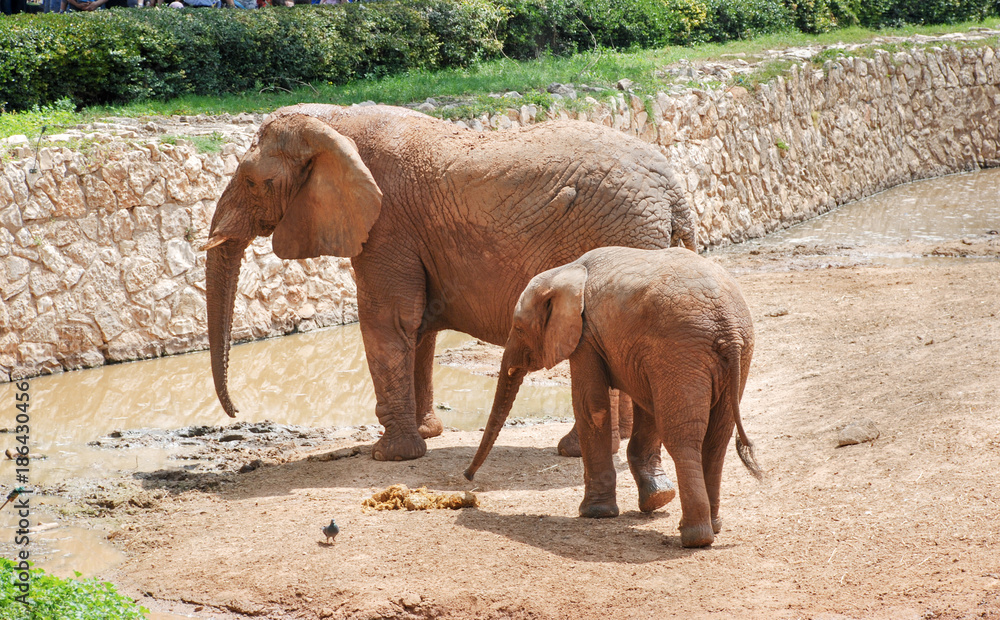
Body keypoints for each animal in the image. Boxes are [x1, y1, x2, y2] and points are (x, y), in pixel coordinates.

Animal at [205, 103, 697, 462]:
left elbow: (388, 320)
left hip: (613, 234)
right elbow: (416, 325)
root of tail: (675, 191)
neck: (333, 121)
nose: (235, 413)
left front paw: (390, 456)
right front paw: (426, 434)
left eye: (252, 181)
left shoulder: (386, 223)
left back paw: (575, 450)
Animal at [464, 247, 763, 548]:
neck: (565, 272)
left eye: (518, 327)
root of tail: (728, 327)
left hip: (682, 352)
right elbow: (647, 407)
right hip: (732, 354)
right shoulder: (637, 352)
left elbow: (592, 405)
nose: (467, 477)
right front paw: (657, 499)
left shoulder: (586, 336)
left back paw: (695, 538)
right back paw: (713, 527)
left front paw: (595, 513)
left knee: (684, 438)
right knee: (716, 439)